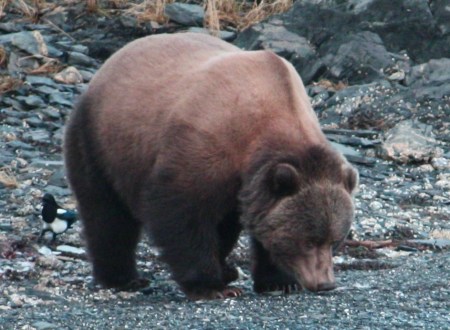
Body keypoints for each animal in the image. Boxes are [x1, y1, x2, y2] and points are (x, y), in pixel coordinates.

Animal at [64, 32, 358, 300]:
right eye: (309, 241)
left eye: (335, 240)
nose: (325, 283)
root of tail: (109, 62)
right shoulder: (203, 149)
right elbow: (182, 214)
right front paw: (209, 286)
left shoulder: (248, 181)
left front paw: (279, 280)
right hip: (101, 141)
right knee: (106, 214)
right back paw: (123, 277)